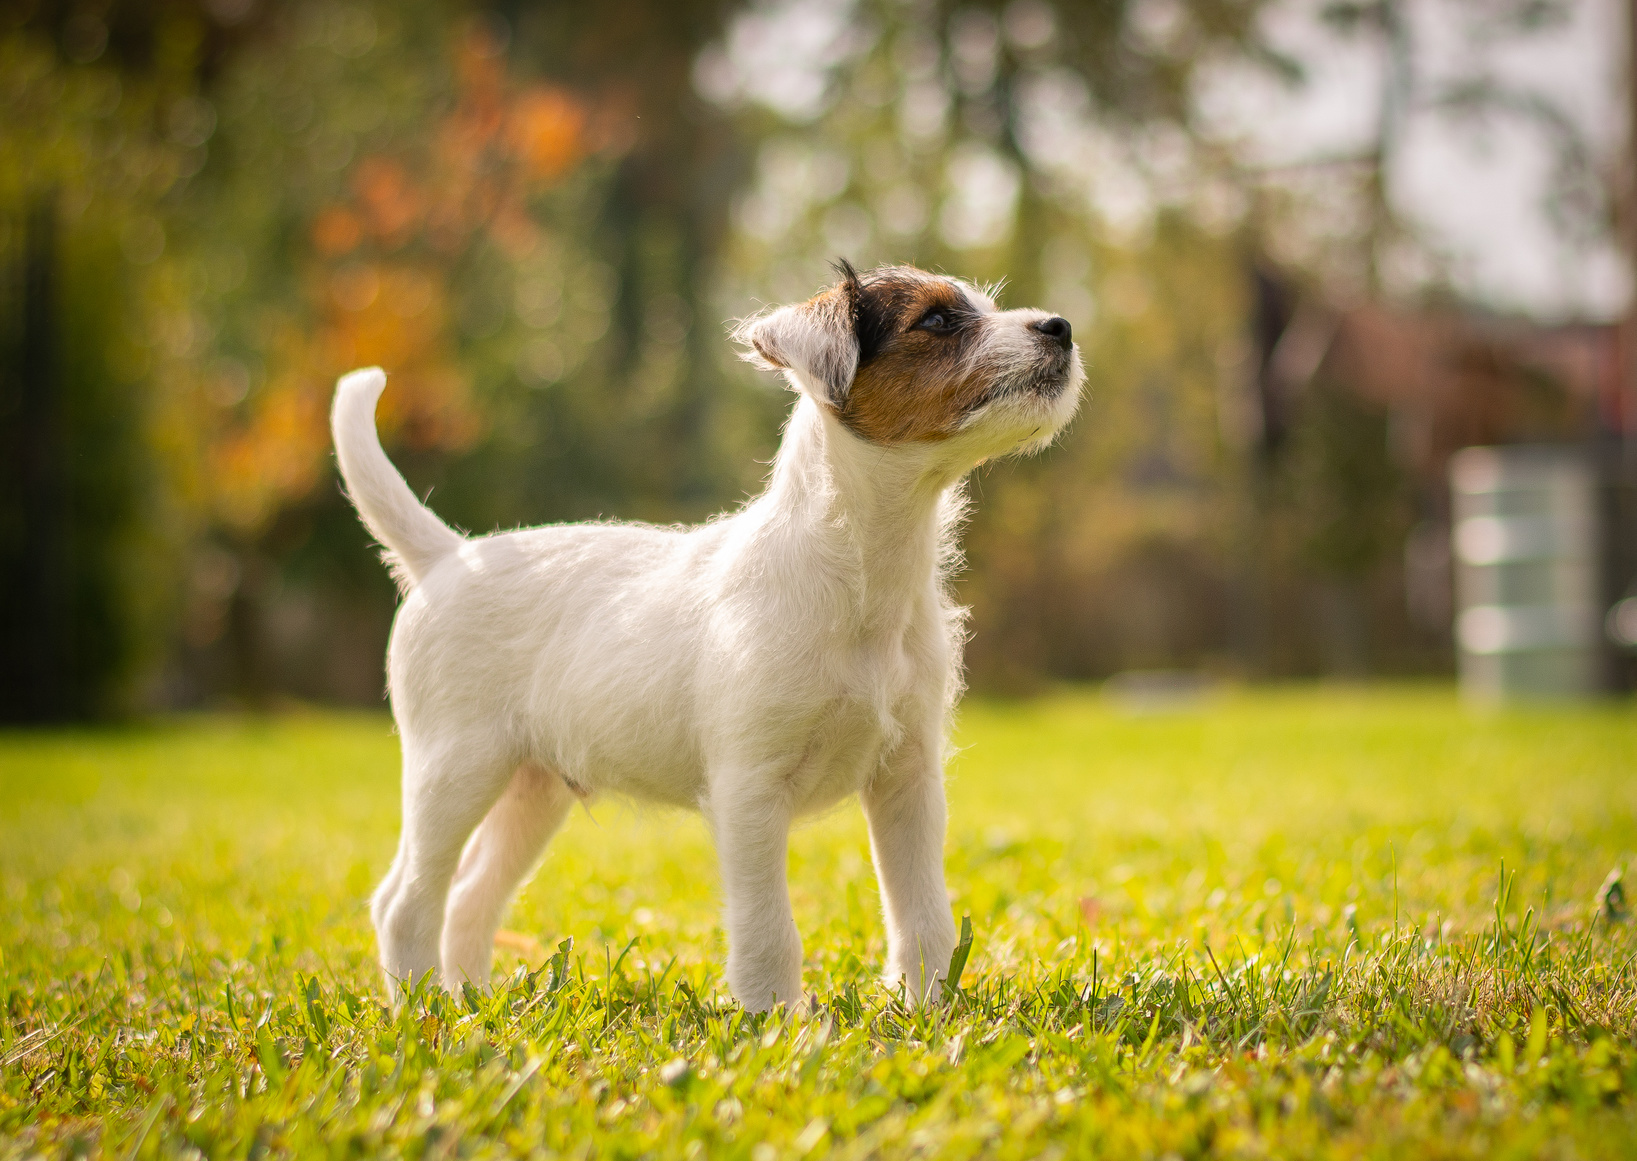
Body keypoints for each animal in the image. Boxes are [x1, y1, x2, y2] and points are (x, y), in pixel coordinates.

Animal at [327, 260, 1080, 1002]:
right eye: (937, 320)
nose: (1061, 326)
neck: (860, 571)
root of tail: (447, 555)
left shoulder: (908, 781)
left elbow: (922, 915)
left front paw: (925, 1010)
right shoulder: (748, 789)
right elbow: (768, 928)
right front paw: (776, 1019)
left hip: (531, 789)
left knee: (468, 896)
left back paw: (469, 1006)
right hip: (455, 768)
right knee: (403, 902)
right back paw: (425, 1008)